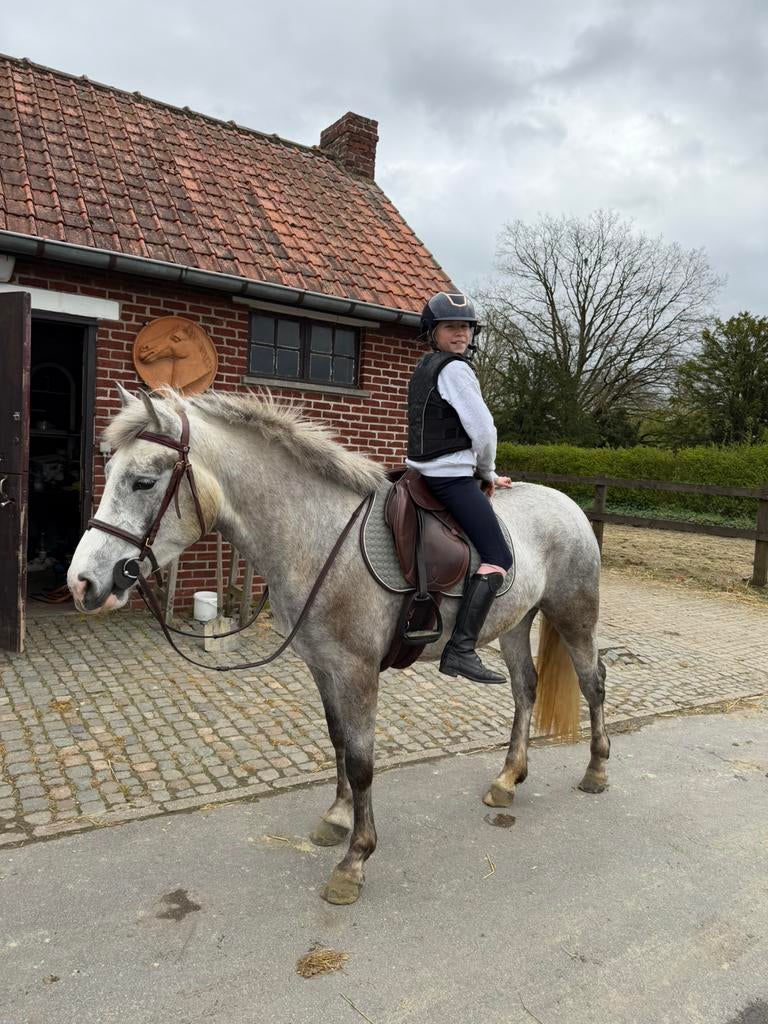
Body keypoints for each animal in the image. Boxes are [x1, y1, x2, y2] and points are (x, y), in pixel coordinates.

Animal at [67, 386, 610, 905]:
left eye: (142, 482)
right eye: (109, 471)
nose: (82, 583)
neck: (321, 536)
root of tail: (568, 504)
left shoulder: (357, 671)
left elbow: (362, 761)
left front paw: (355, 861)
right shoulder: (322, 665)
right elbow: (339, 742)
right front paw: (337, 817)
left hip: (574, 617)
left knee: (593, 684)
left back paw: (597, 770)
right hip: (516, 624)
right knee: (525, 690)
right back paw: (508, 779)